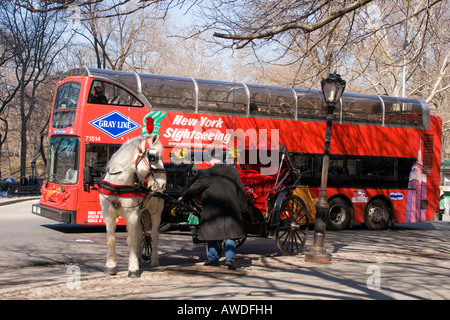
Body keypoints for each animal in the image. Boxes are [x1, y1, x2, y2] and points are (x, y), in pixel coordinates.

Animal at [99, 134, 166, 276]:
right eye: (153, 157)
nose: (163, 184)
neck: (118, 184)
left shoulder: (131, 215)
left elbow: (131, 240)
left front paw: (133, 268)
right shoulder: (108, 215)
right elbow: (111, 239)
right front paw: (111, 265)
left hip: (155, 211)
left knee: (154, 234)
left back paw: (154, 259)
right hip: (140, 212)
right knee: (140, 232)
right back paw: (139, 257)